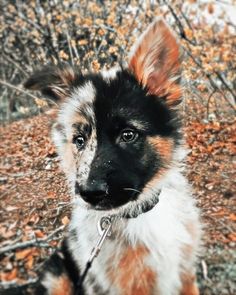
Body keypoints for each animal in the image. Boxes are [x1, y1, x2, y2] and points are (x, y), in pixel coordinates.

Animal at [25, 17, 201, 294]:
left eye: (128, 135)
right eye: (79, 140)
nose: (88, 194)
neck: (140, 213)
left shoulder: (186, 276)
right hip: (58, 277)